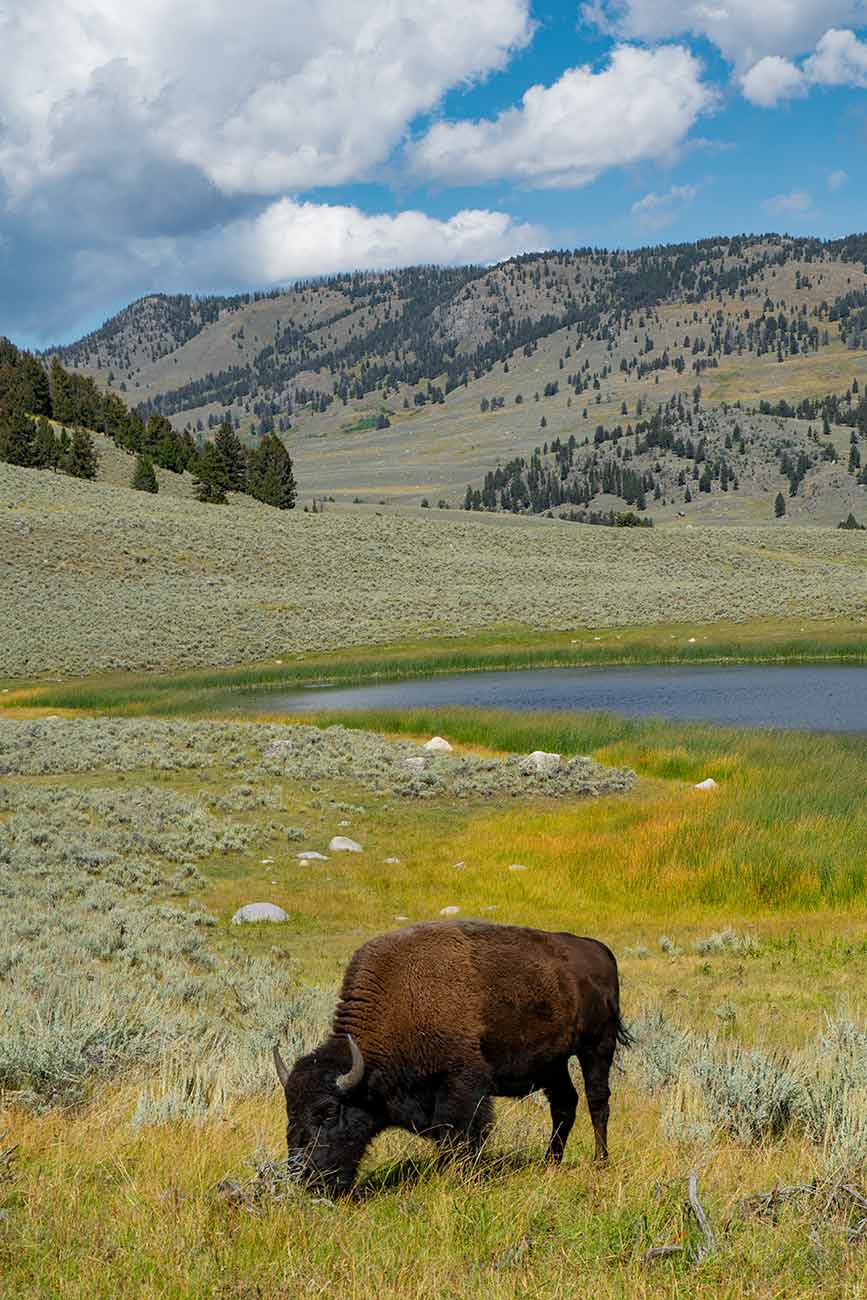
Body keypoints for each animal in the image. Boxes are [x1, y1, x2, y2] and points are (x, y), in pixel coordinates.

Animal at [274, 920, 626, 1190]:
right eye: (290, 1110)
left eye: (329, 1112)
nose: (303, 1176)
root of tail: (599, 950)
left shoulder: (463, 1086)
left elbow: (462, 1134)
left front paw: (461, 1176)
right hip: (553, 1063)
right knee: (564, 1105)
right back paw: (550, 1163)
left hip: (597, 1047)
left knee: (597, 1101)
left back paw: (600, 1161)